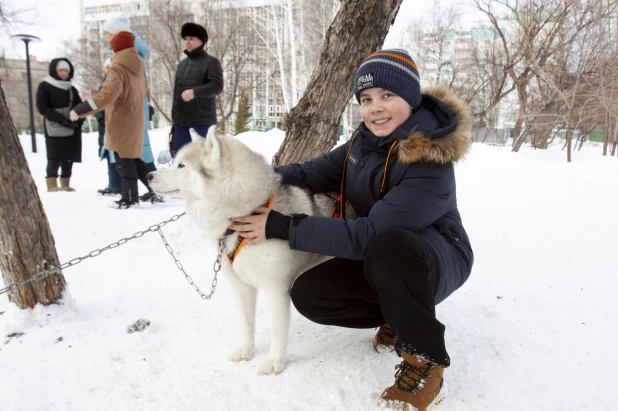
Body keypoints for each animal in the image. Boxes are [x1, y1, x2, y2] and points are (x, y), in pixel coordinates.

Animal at [147, 130, 334, 376]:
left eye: (181, 165)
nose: (148, 175)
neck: (244, 214)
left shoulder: (277, 290)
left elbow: (276, 331)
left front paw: (274, 362)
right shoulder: (240, 287)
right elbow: (246, 324)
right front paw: (246, 350)